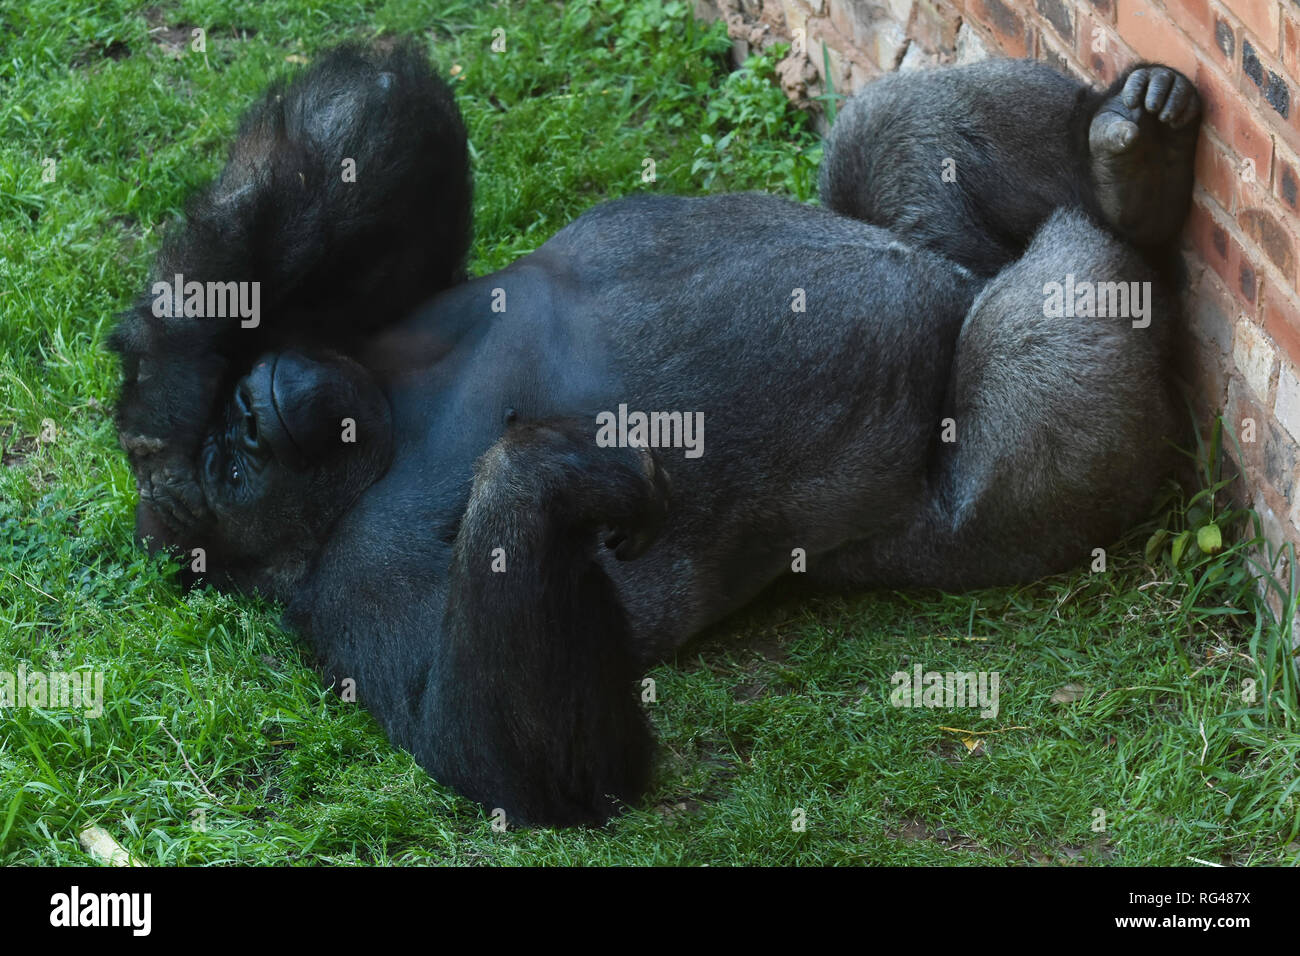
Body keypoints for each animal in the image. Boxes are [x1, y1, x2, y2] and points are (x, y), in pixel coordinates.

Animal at [109, 41, 1196, 827]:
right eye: (237, 465)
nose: (252, 416)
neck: (379, 431)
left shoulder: (368, 321)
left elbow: (359, 171)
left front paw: (173, 387)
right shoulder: (347, 594)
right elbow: (521, 761)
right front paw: (544, 474)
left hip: (941, 243)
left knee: (887, 129)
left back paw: (1122, 170)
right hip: (1000, 486)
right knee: (1042, 364)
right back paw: (1120, 224)